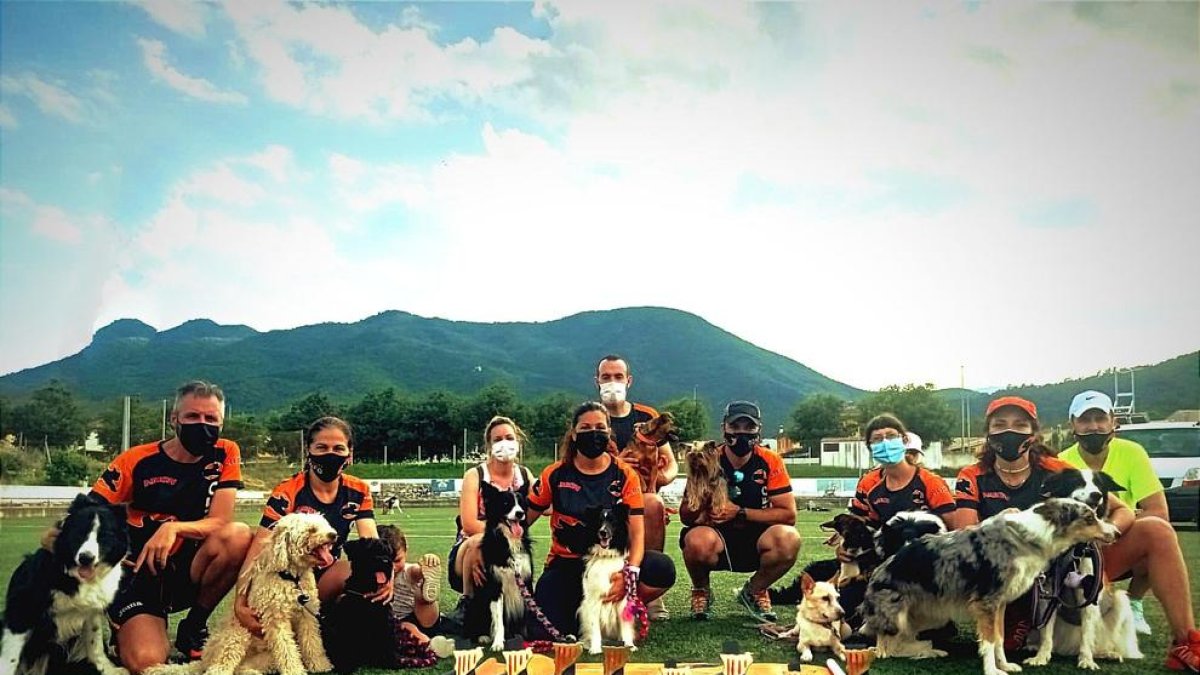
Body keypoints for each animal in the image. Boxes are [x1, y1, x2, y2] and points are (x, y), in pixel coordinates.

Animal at [1, 487, 127, 672]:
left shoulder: (92, 611)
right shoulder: (22, 609)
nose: (85, 558)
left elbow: (94, 642)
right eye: (80, 532)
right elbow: (10, 658)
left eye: (104, 536)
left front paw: (106, 669)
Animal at [324, 533, 398, 667]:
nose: (385, 561)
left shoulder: (384, 620)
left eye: (388, 552)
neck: (365, 590)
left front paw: (391, 660)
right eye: (370, 549)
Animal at [463, 480, 530, 648]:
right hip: (476, 604)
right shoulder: (495, 586)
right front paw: (498, 643)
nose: (520, 513)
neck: (509, 542)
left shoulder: (526, 582)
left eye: (521, 503)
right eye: (506, 503)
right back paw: (483, 637)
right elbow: (499, 619)